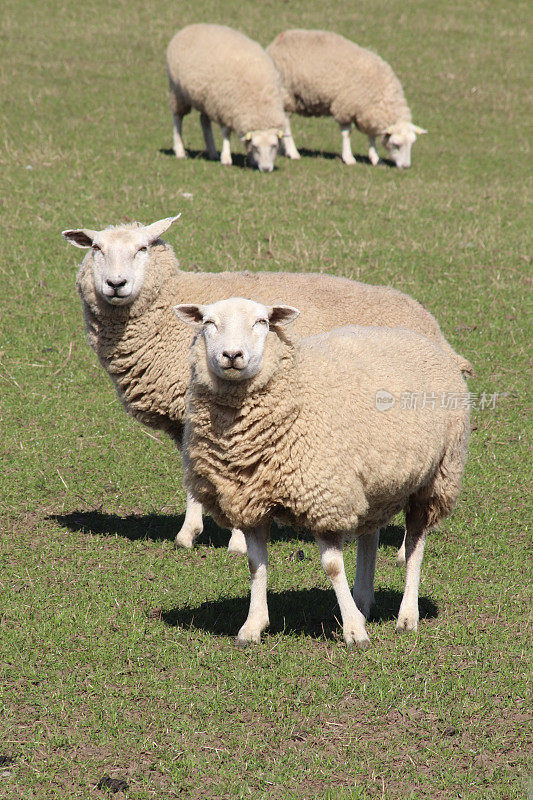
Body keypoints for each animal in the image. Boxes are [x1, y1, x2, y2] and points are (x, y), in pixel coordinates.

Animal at [60, 216, 472, 560]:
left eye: (143, 248)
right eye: (96, 248)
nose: (116, 285)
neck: (166, 306)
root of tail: (432, 326)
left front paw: (235, 542)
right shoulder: (192, 418)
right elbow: (196, 478)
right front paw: (189, 533)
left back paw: (404, 552)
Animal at [166, 25, 286, 173]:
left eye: (274, 145)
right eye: (256, 146)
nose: (265, 169)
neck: (259, 101)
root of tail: (188, 28)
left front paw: (251, 160)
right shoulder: (226, 108)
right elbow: (226, 133)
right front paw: (226, 158)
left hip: (207, 99)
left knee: (204, 120)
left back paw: (212, 152)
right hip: (177, 91)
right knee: (178, 118)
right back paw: (180, 151)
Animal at [176, 296, 470, 648]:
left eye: (262, 322)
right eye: (208, 322)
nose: (232, 356)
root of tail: (420, 338)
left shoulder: (324, 496)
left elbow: (331, 567)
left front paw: (354, 632)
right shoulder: (250, 499)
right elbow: (255, 563)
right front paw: (252, 626)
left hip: (436, 476)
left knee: (415, 541)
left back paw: (407, 615)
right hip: (373, 481)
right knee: (370, 536)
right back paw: (362, 602)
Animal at [268, 29, 426, 169]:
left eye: (412, 144)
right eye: (395, 144)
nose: (406, 167)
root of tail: (278, 40)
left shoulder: (367, 112)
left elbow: (371, 136)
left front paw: (376, 158)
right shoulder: (345, 107)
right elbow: (347, 133)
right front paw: (349, 158)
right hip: (286, 94)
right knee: (286, 123)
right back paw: (293, 152)